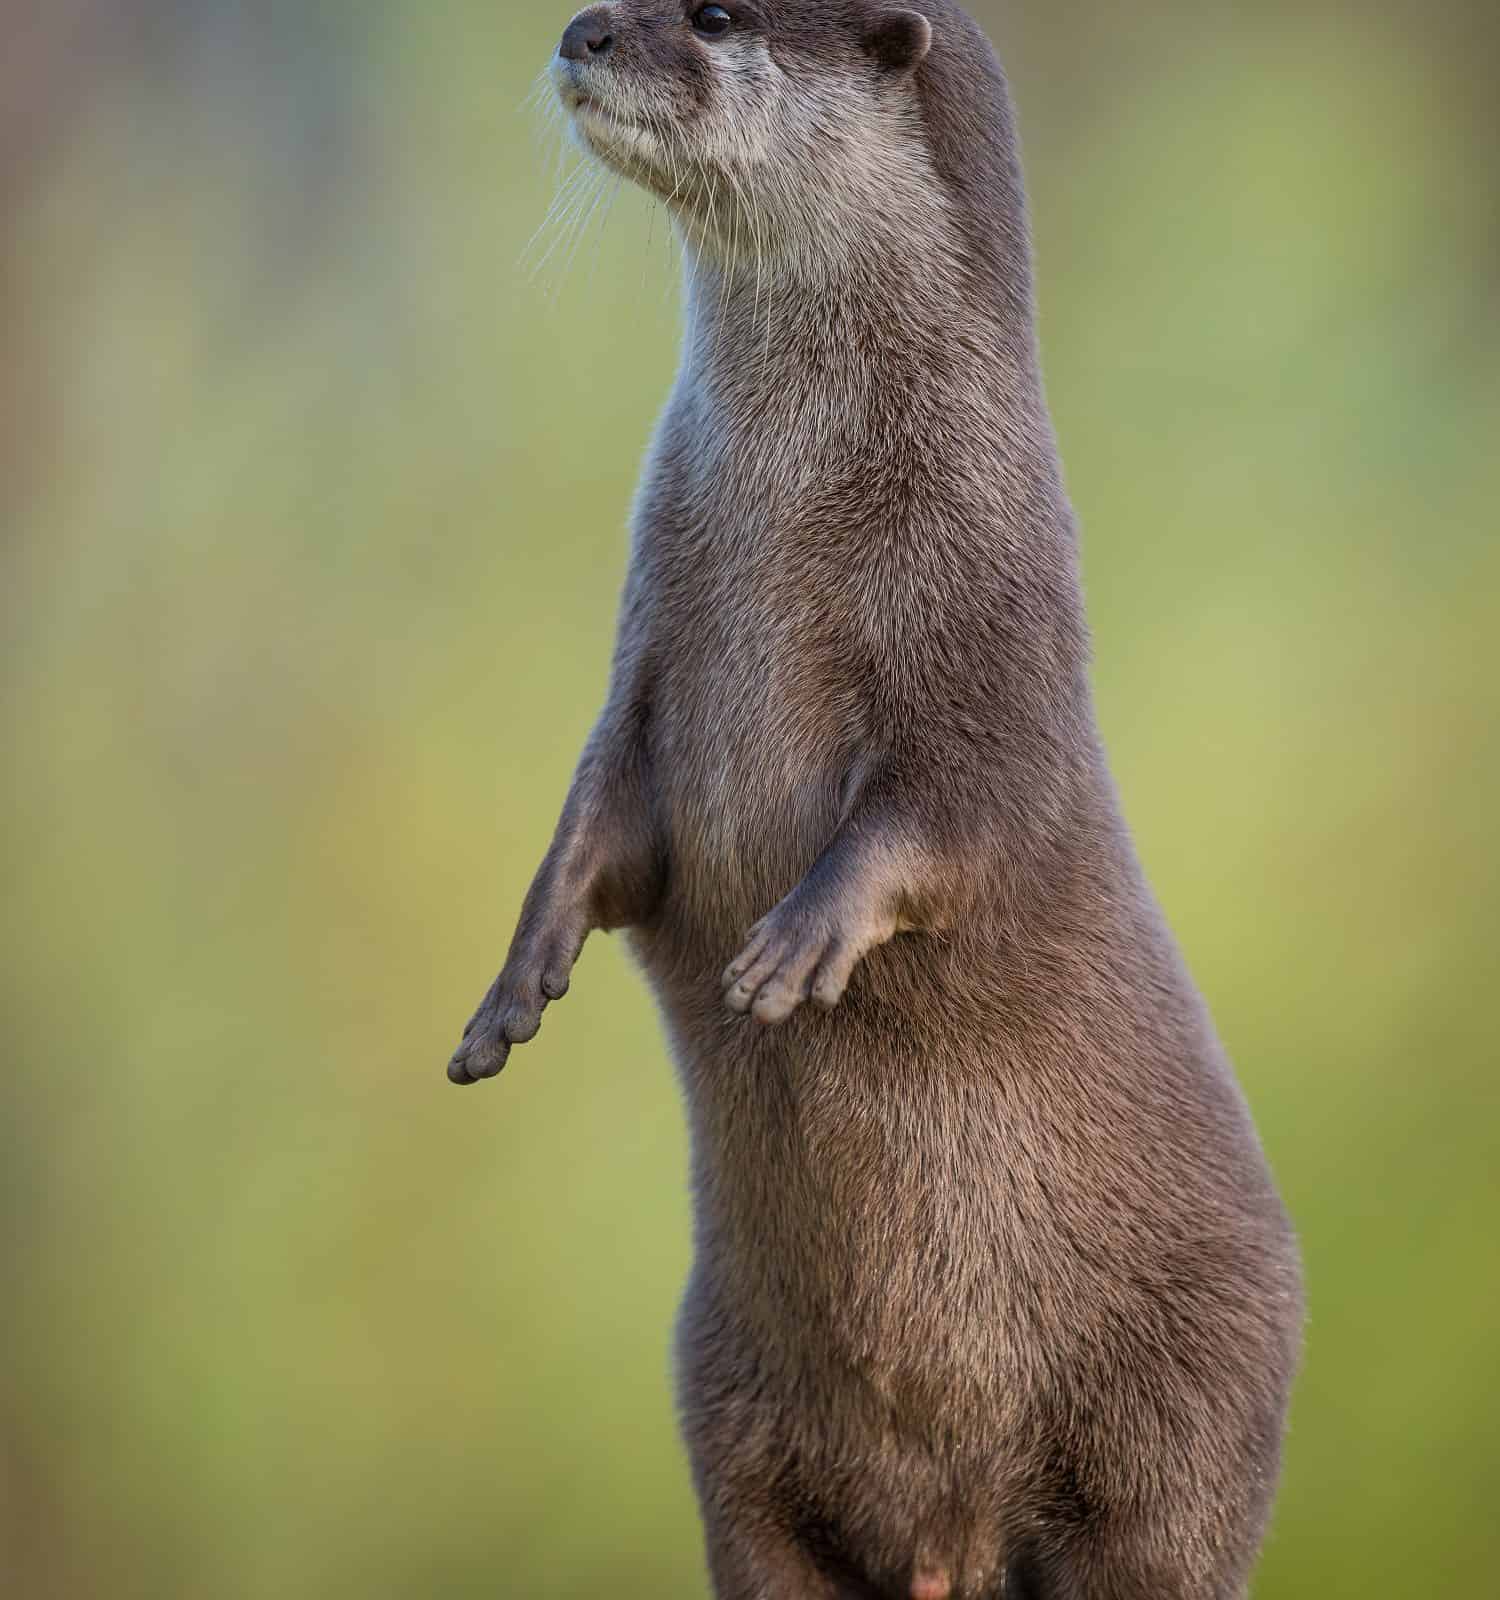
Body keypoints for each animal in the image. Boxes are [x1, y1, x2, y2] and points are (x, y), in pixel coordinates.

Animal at [444, 6, 1298, 1593]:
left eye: (718, 16)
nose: (585, 28)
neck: (796, 515)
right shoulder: (649, 651)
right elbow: (602, 827)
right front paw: (515, 985)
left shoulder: (999, 628)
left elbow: (958, 815)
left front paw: (796, 945)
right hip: (734, 1430)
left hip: (1180, 1433)